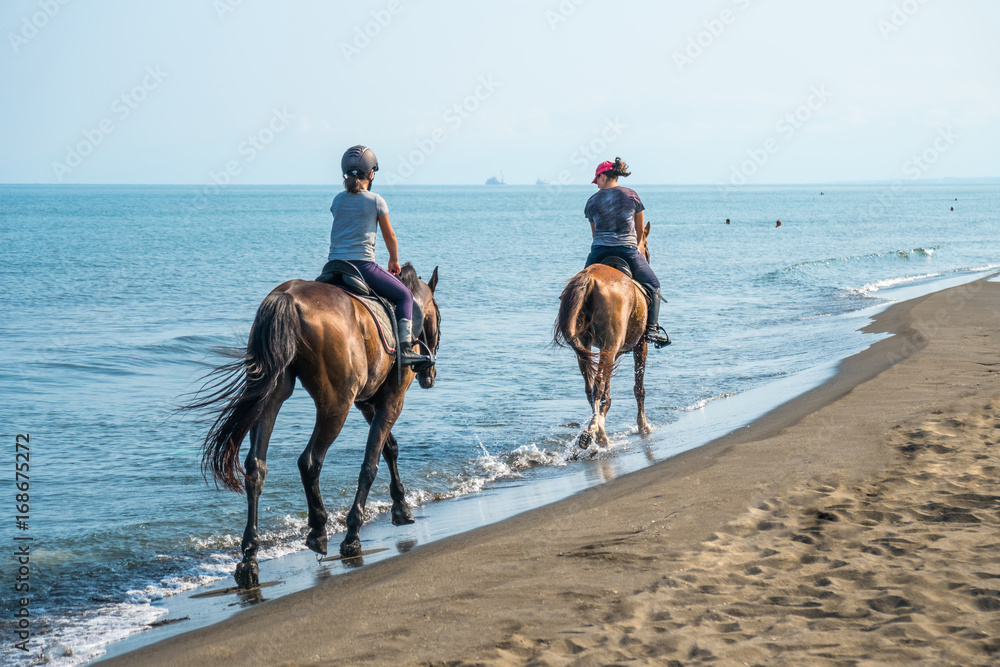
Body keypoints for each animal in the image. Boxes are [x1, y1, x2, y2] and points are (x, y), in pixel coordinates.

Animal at [188, 264, 438, 588]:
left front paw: (400, 505)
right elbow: (370, 463)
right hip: (336, 403)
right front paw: (354, 533)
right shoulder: (392, 399)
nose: (429, 374)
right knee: (310, 461)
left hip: (272, 390)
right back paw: (319, 531)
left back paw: (249, 559)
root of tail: (287, 299)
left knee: (256, 467)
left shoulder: (369, 404)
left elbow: (389, 449)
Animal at [556, 223, 656, 448]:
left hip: (587, 349)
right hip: (609, 347)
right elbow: (639, 388)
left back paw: (594, 431)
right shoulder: (640, 344)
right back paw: (597, 432)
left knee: (591, 387)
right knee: (598, 387)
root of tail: (589, 278)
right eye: (647, 248)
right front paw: (643, 425)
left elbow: (607, 394)